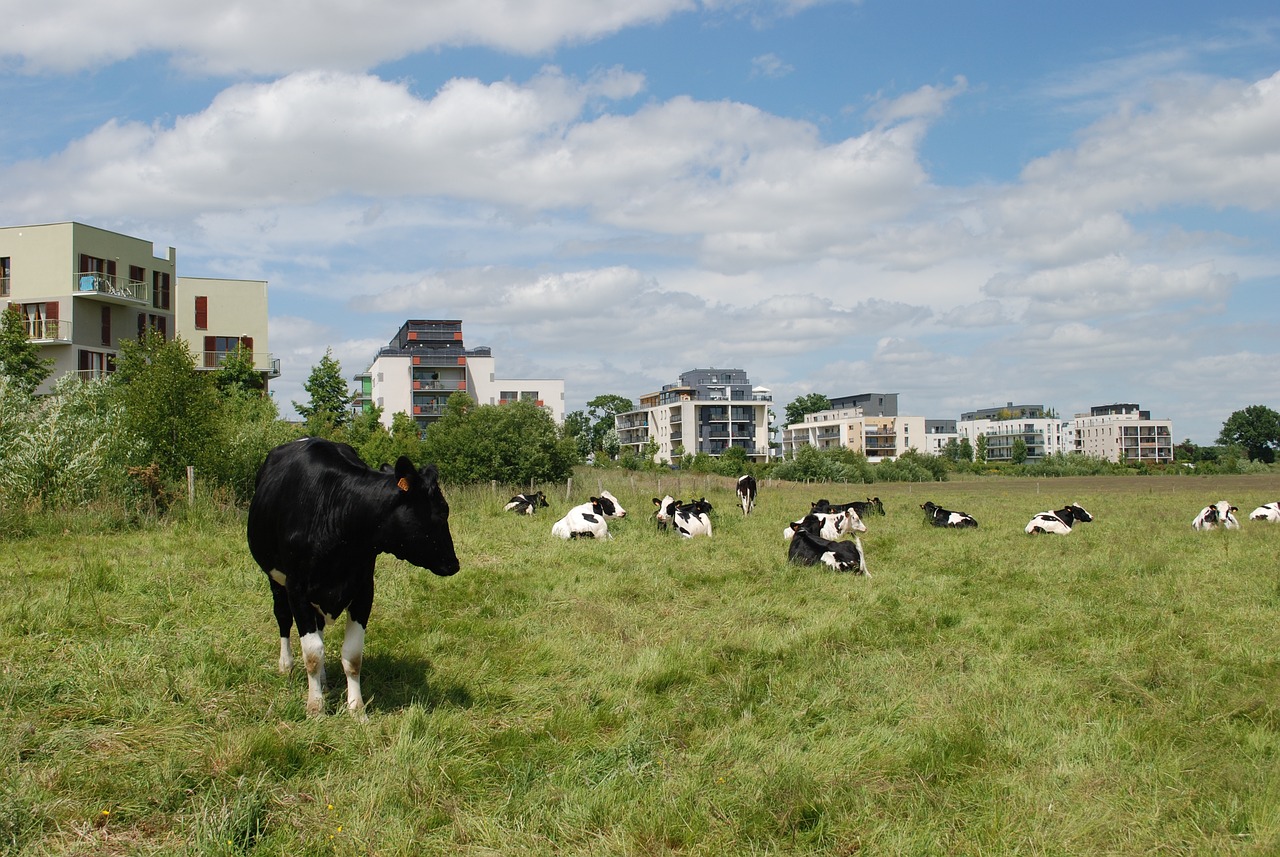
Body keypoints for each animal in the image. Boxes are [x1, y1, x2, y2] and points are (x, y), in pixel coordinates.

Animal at [244, 442, 460, 716]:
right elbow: (312, 653)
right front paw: (315, 708)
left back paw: (324, 680)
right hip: (275, 579)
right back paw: (287, 665)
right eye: (443, 512)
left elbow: (352, 655)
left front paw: (357, 709)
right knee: (283, 617)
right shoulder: (297, 590)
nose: (454, 563)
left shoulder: (364, 590)